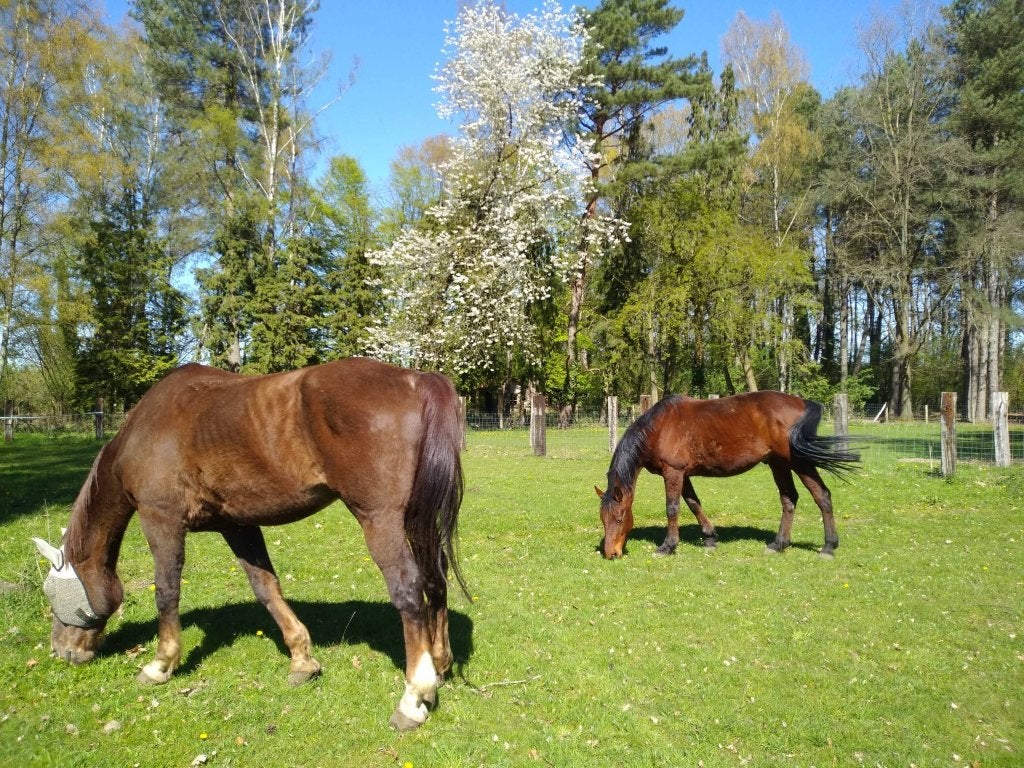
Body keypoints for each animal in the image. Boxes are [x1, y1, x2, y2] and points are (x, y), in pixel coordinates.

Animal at [32, 357, 466, 731]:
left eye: (52, 594)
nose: (61, 651)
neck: (144, 430)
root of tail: (414, 379)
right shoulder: (238, 526)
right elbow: (266, 588)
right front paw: (301, 659)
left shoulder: (161, 520)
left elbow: (167, 591)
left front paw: (160, 664)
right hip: (418, 519)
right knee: (435, 578)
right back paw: (439, 666)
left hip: (380, 519)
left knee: (408, 589)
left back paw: (413, 697)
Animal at [596, 392, 859, 560]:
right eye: (602, 519)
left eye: (619, 518)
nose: (611, 553)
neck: (659, 427)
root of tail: (803, 402)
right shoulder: (683, 475)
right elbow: (694, 503)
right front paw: (710, 538)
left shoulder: (673, 472)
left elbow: (673, 508)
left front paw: (668, 546)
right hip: (778, 463)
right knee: (789, 499)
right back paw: (778, 544)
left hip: (799, 462)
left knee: (821, 495)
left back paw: (828, 547)